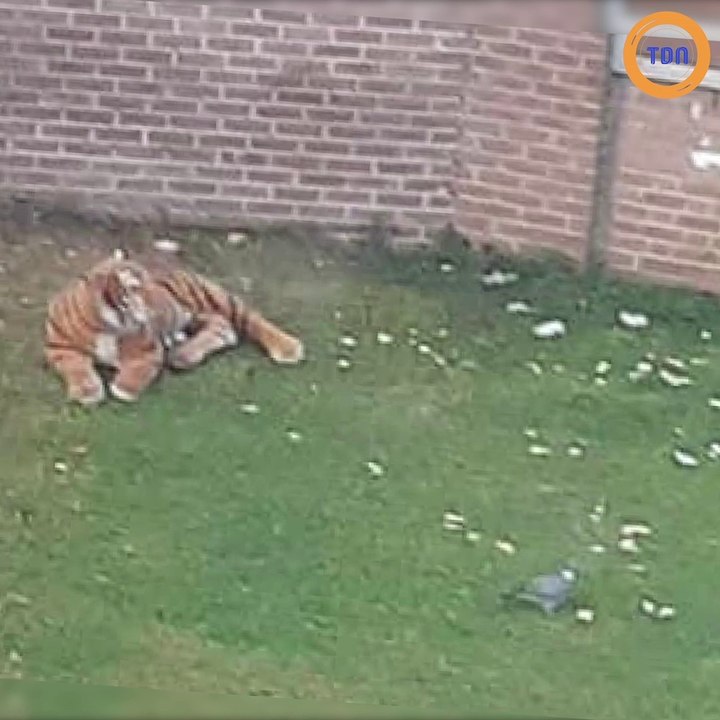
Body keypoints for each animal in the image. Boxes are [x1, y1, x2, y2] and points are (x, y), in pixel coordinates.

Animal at [44, 249, 304, 406]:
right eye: (138, 288)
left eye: (151, 284)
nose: (162, 303)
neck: (105, 323)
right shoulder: (59, 346)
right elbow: (75, 367)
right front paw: (87, 391)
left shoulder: (147, 350)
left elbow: (137, 370)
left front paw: (123, 389)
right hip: (197, 314)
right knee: (225, 329)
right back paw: (184, 354)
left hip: (207, 294)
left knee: (251, 318)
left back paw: (287, 347)